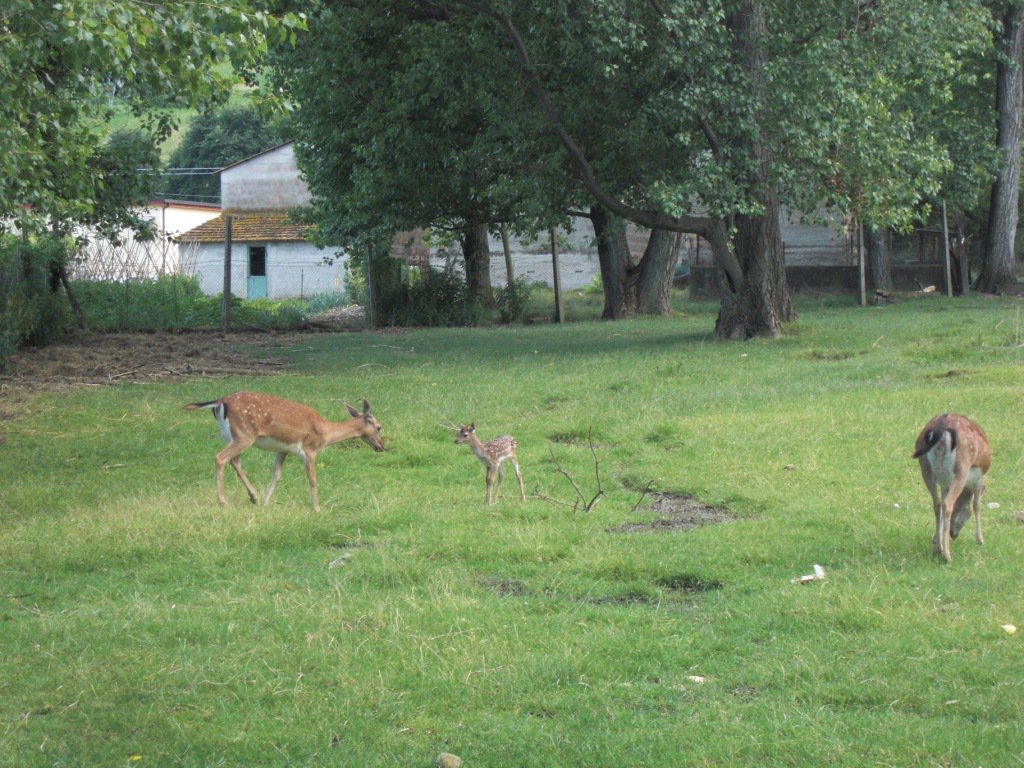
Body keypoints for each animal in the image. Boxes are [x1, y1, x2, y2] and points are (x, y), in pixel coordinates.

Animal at [184, 393, 385, 514]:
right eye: (379, 427)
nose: (381, 447)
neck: (325, 432)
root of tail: (220, 401)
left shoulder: (283, 450)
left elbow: (277, 475)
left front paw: (266, 502)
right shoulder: (309, 449)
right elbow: (312, 479)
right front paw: (317, 508)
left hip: (232, 436)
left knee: (234, 461)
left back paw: (254, 496)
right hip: (244, 434)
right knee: (220, 458)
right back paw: (223, 501)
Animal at [913, 415, 991, 565]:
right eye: (968, 513)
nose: (953, 534)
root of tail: (940, 429)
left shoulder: (945, 484)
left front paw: (936, 540)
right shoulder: (980, 478)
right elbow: (977, 504)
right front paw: (980, 539)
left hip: (925, 467)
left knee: (938, 504)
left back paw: (939, 549)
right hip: (961, 468)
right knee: (947, 504)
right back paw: (947, 556)